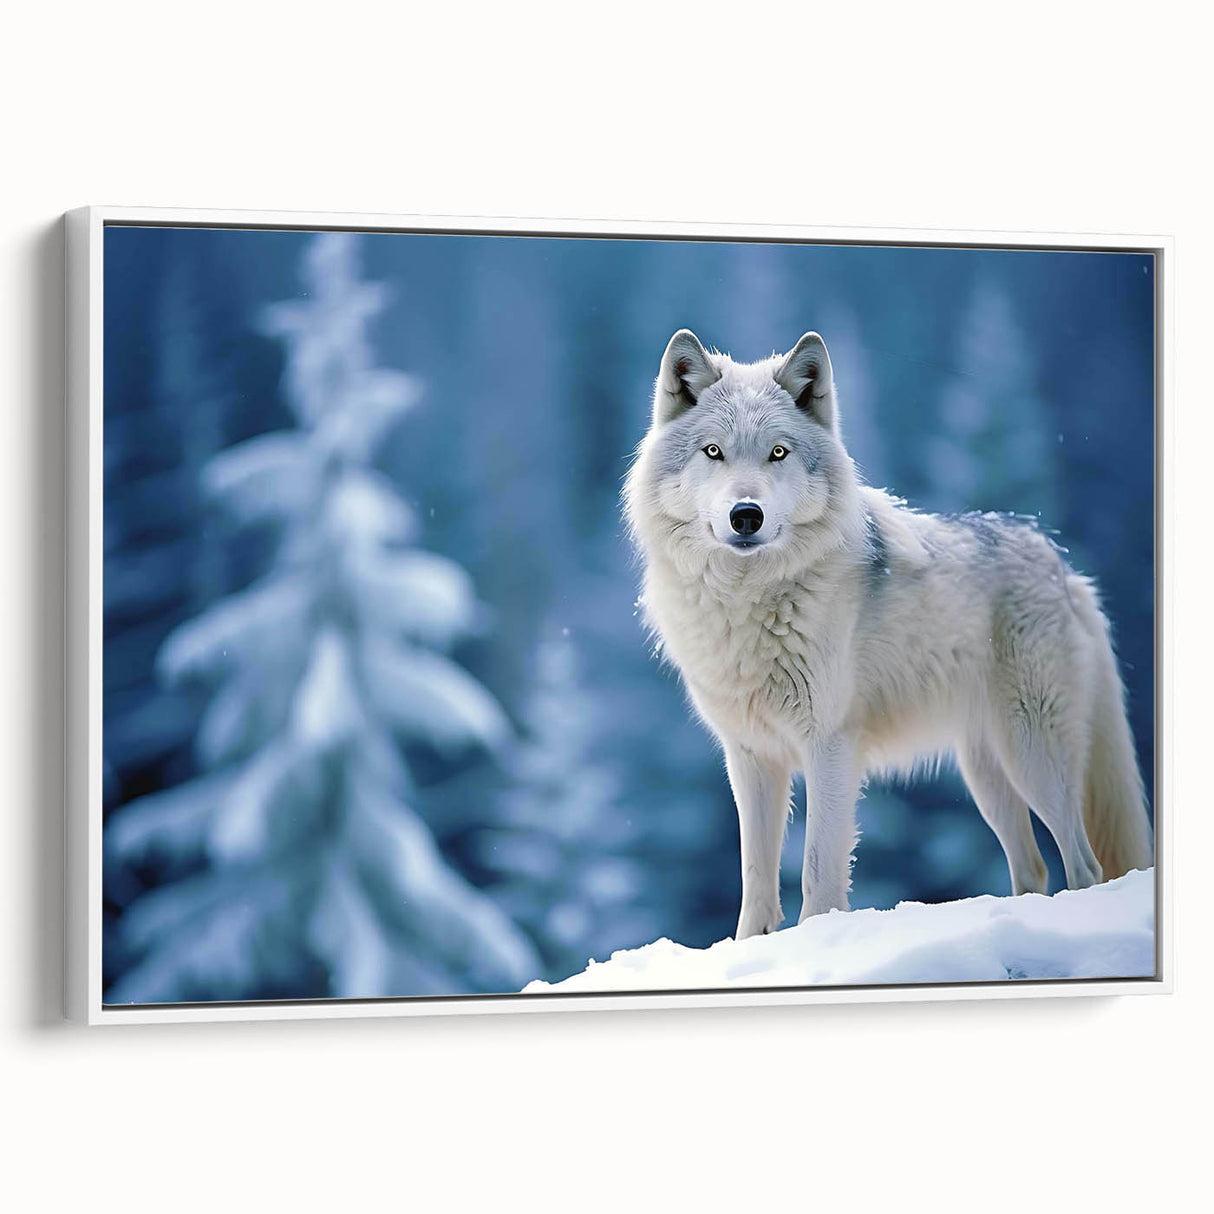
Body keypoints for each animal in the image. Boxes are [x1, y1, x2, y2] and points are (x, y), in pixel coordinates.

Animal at [624, 328, 1153, 939]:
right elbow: (755, 879)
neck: (747, 603)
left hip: (1033, 757)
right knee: (1035, 869)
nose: (746, 515)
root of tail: (1065, 570)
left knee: (1084, 866)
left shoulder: (830, 746)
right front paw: (752, 947)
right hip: (988, 776)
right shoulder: (752, 757)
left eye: (778, 452)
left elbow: (817, 871)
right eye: (713, 452)